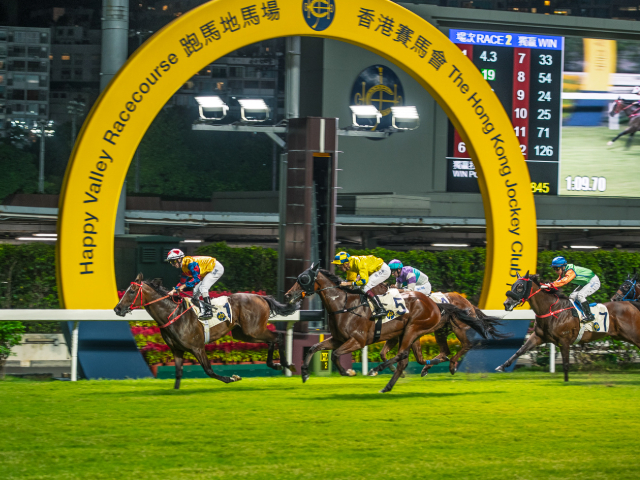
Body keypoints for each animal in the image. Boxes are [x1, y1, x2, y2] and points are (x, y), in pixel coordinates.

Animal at [115, 272, 300, 388]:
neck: (172, 313)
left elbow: (209, 370)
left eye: (131, 291)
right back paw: (275, 364)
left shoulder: (197, 347)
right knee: (271, 340)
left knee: (277, 337)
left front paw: (232, 377)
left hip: (253, 330)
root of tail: (261, 296)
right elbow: (178, 373)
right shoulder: (177, 350)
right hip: (244, 334)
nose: (117, 309)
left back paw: (287, 365)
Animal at [284, 262, 500, 394]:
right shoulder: (339, 339)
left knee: (459, 346)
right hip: (429, 331)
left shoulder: (358, 340)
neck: (345, 304)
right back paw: (393, 382)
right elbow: (314, 348)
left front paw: (349, 372)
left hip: (428, 328)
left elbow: (336, 355)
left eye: (303, 278)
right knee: (424, 355)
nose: (288, 295)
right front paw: (304, 373)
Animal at [498, 272, 640, 380]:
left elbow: (566, 364)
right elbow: (520, 350)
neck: (552, 309)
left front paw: (566, 383)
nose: (506, 303)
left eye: (520, 287)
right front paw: (502, 366)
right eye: (513, 285)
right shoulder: (538, 337)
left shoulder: (564, 341)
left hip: (633, 334)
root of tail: (630, 304)